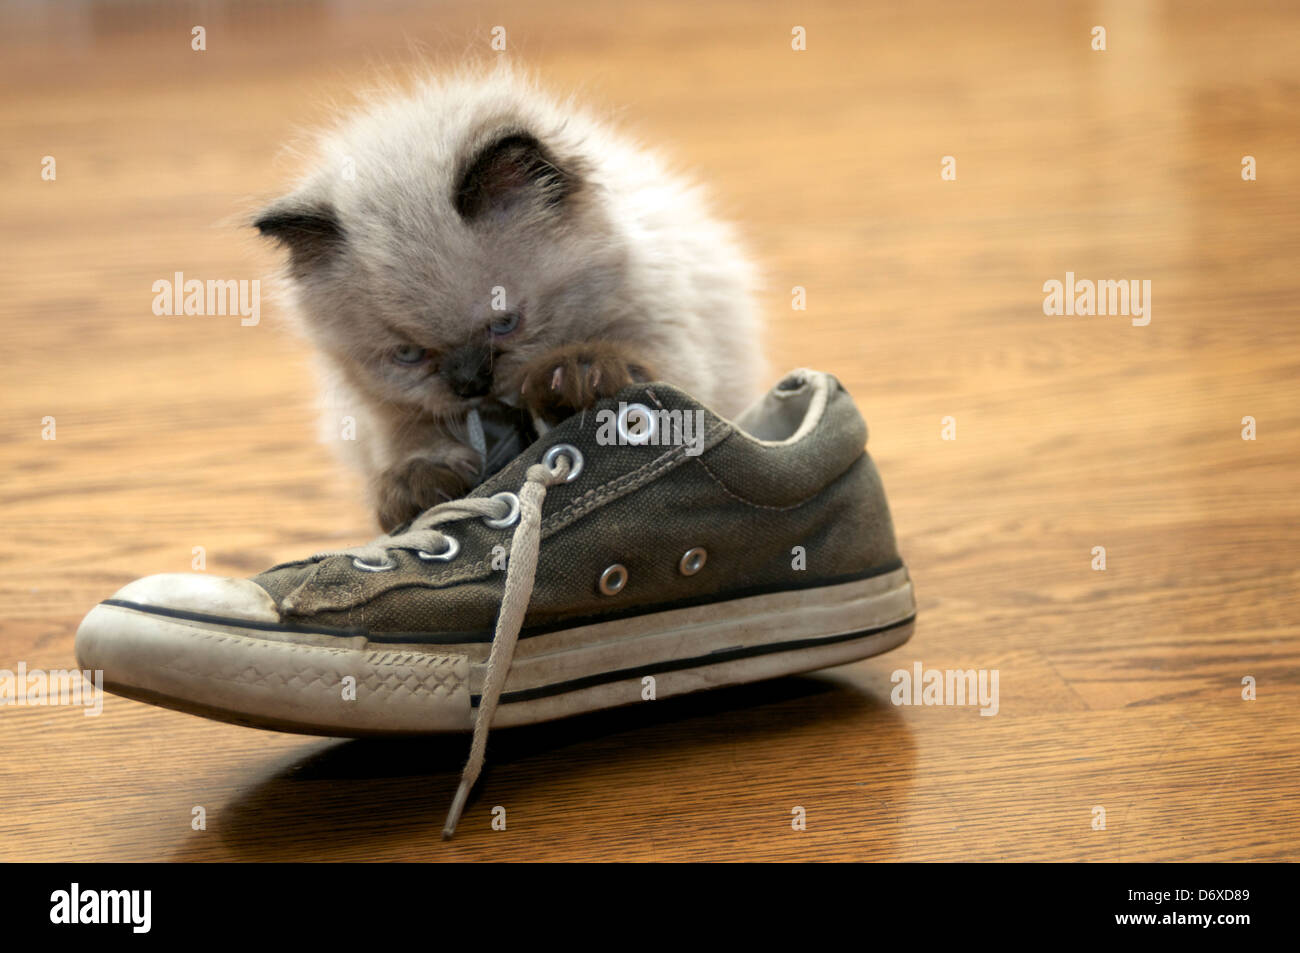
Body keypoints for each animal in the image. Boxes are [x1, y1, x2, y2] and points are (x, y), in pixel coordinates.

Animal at [253, 66, 759, 527]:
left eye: (504, 324)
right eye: (409, 355)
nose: (471, 384)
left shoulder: (669, 336)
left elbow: (635, 357)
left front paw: (578, 373)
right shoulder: (379, 409)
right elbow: (407, 436)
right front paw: (420, 480)